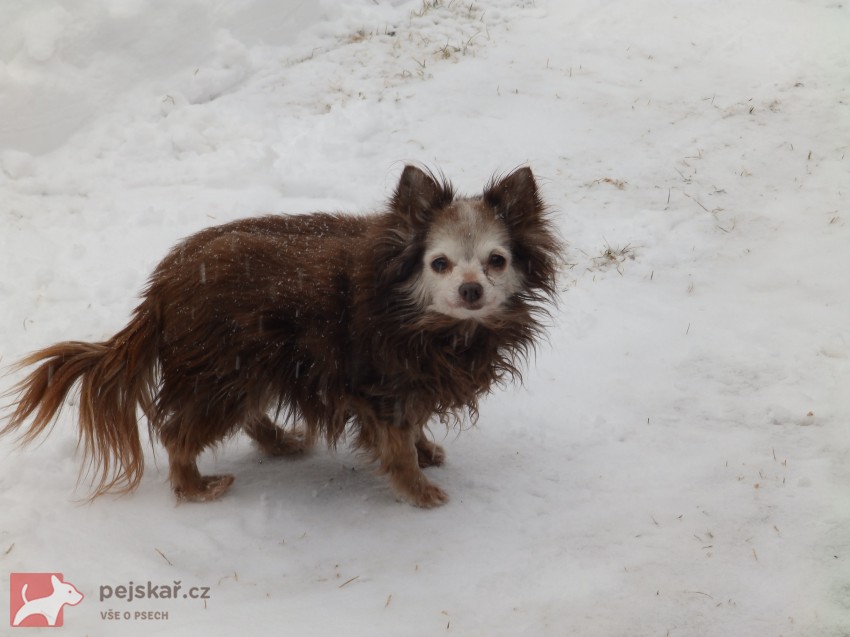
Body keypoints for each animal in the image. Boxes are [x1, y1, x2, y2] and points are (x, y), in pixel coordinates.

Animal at [3, 168, 560, 506]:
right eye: (438, 263)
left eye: (496, 260)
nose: (470, 290)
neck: (421, 319)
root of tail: (163, 286)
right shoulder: (383, 384)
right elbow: (396, 444)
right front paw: (418, 489)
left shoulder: (411, 383)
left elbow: (414, 424)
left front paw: (426, 451)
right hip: (227, 369)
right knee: (177, 434)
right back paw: (194, 487)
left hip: (252, 367)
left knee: (242, 414)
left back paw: (278, 442)